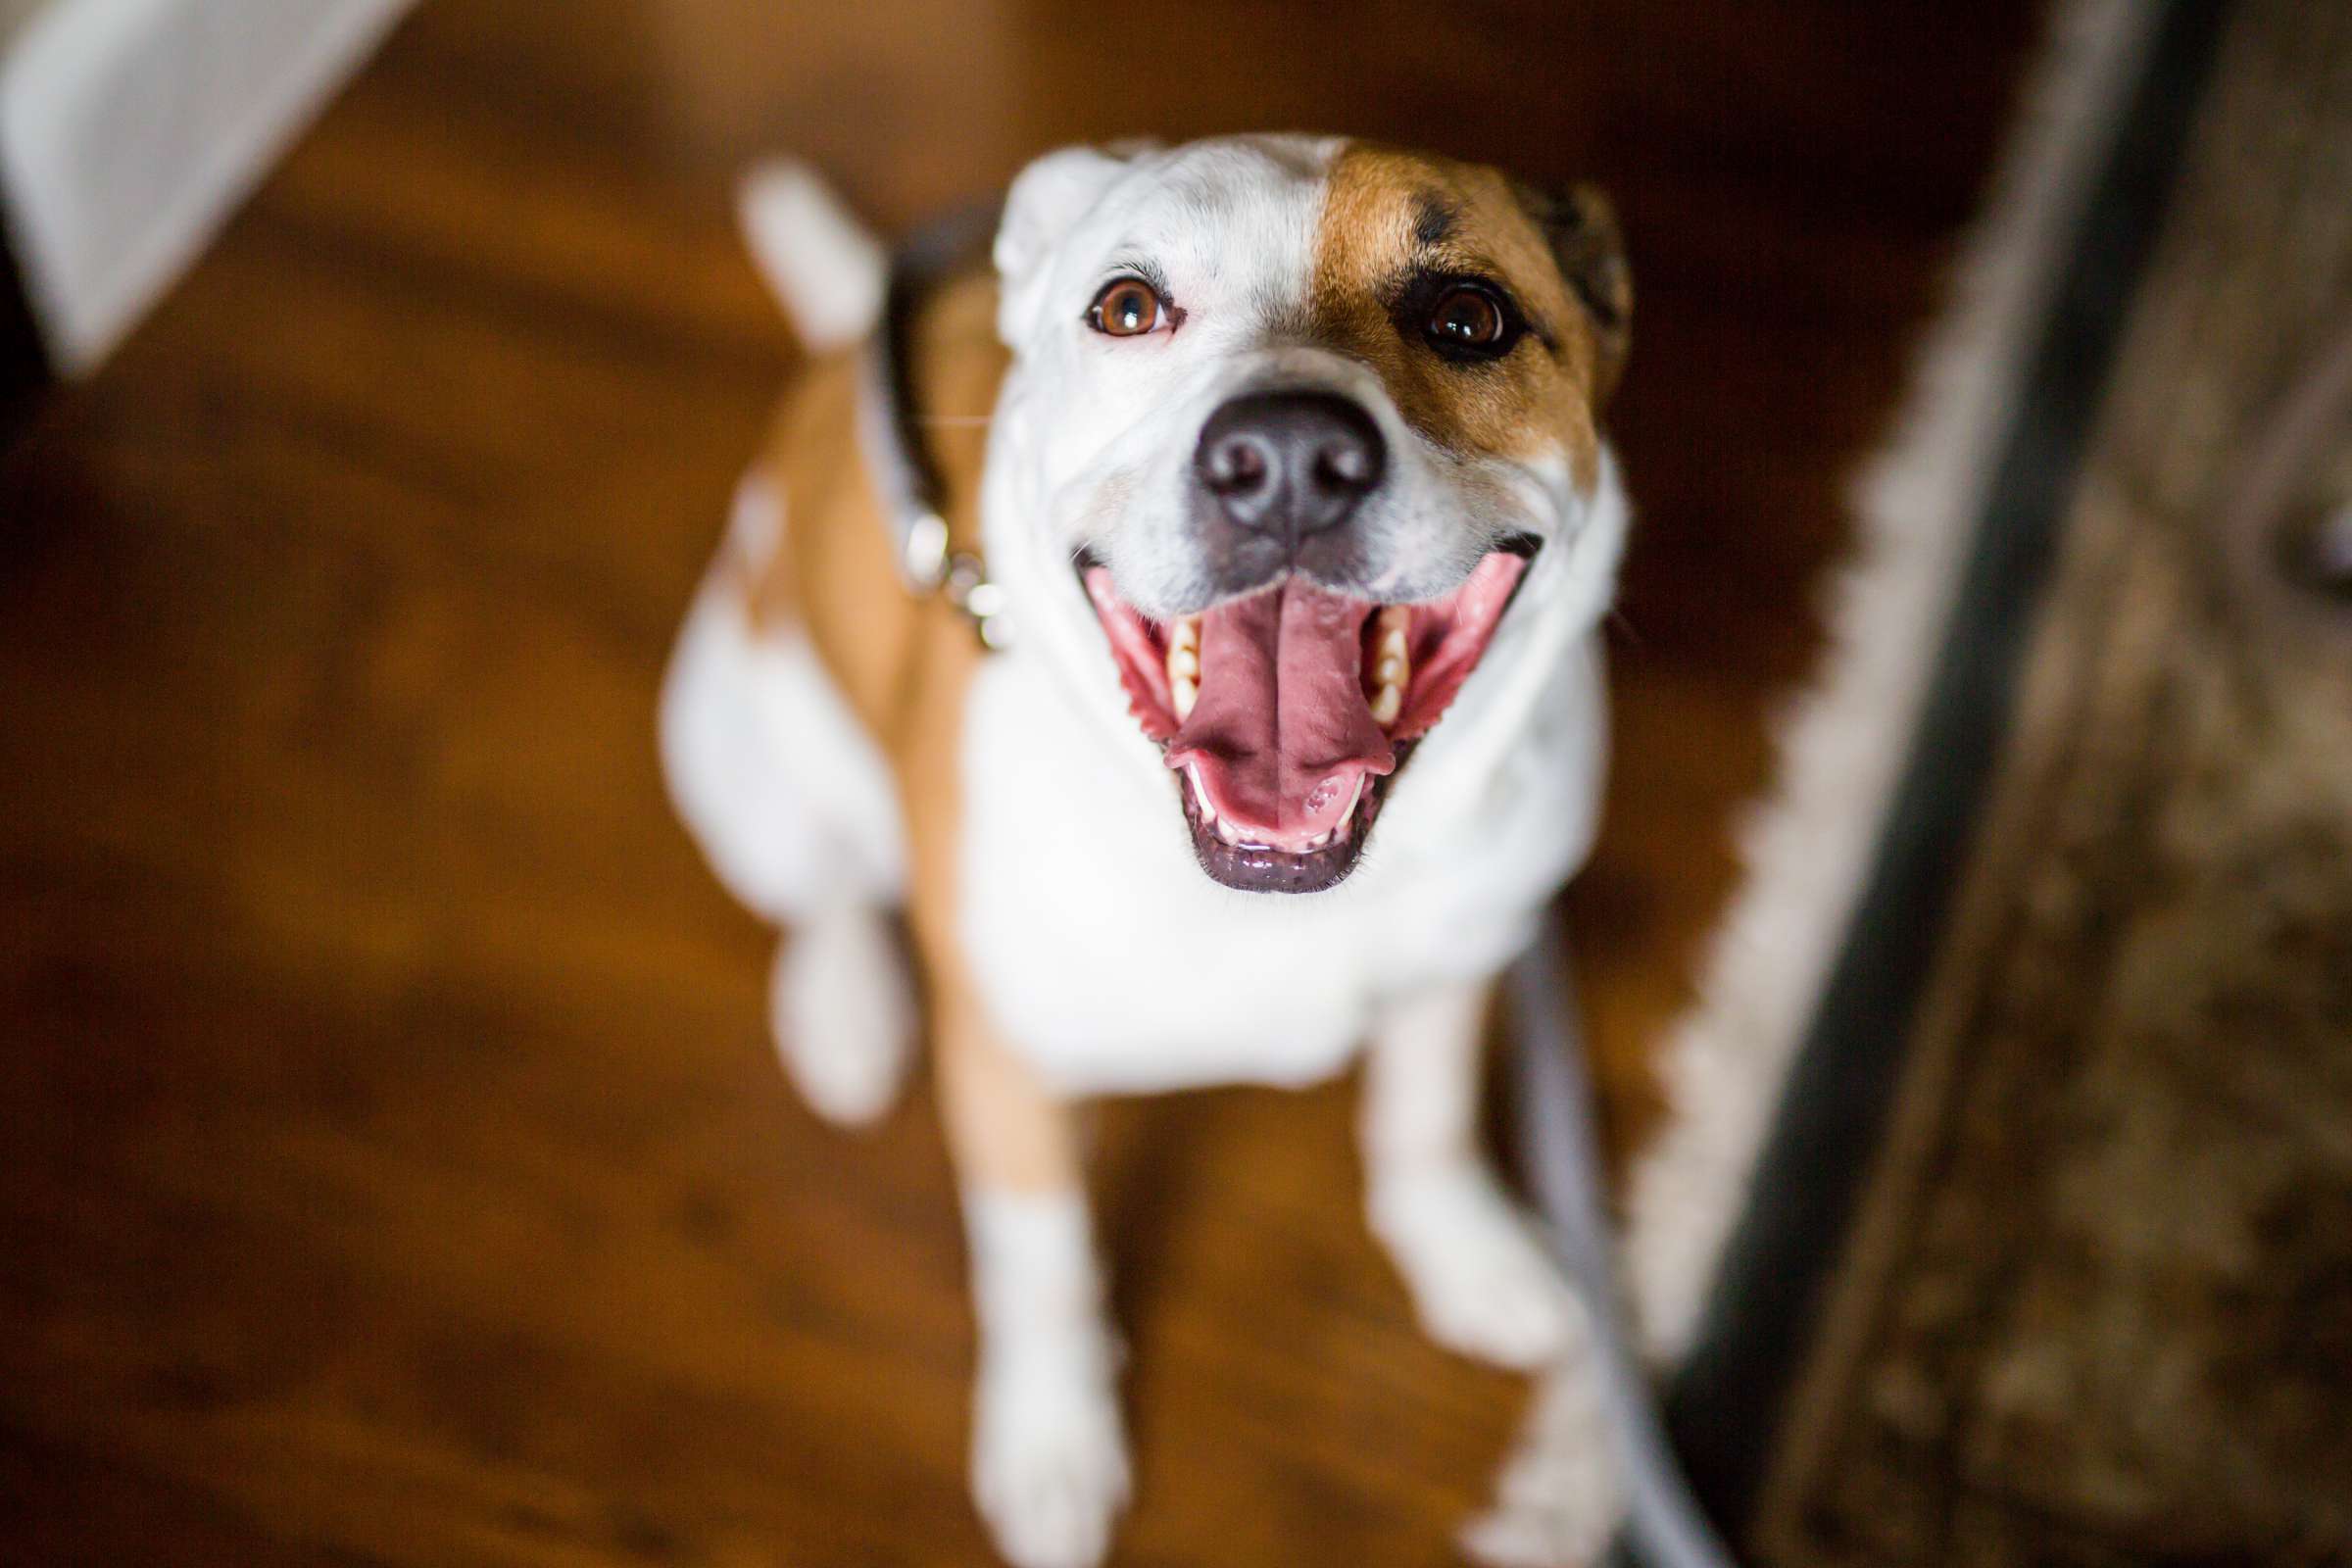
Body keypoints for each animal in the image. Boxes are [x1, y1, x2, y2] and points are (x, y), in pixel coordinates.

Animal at [662, 137, 1637, 1568]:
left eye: (1471, 318)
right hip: (748, 756)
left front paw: (1466, 1253)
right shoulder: (1004, 1058)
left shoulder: (1465, 958)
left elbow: (1426, 1117)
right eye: (1127, 308)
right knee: (826, 889)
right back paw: (842, 1006)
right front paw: (1052, 1441)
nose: (1287, 457)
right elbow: (1041, 1260)